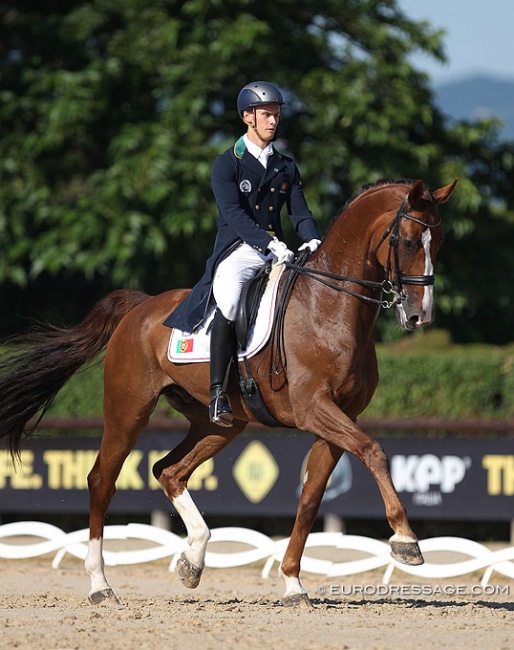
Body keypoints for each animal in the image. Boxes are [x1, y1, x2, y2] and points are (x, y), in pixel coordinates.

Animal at [0, 176, 456, 604]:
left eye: (440, 242)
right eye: (409, 241)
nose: (421, 315)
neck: (329, 308)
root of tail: (140, 306)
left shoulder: (339, 417)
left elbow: (311, 498)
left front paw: (293, 584)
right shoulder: (314, 409)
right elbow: (373, 451)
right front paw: (406, 540)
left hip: (219, 422)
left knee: (169, 471)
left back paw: (193, 560)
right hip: (128, 410)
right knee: (102, 481)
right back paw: (100, 585)